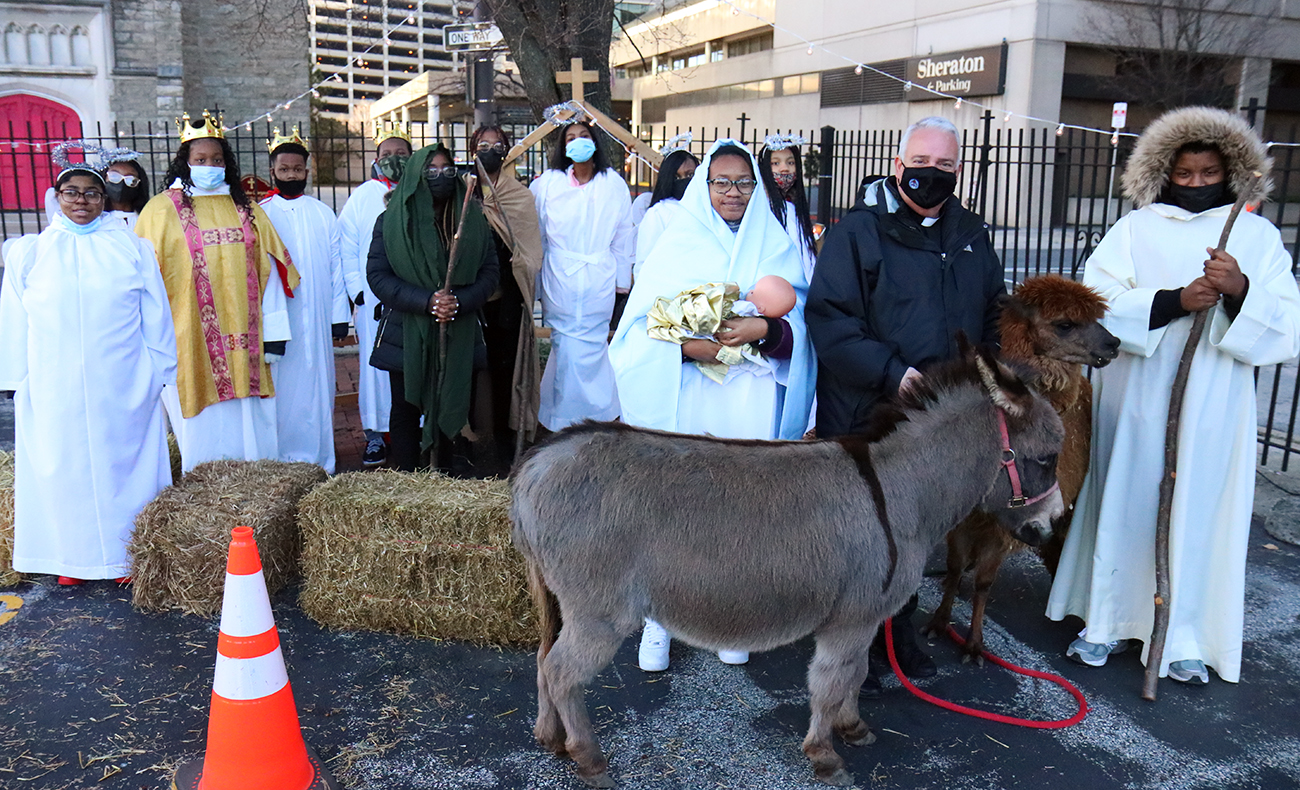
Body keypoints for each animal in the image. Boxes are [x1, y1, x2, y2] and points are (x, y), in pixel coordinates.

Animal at [510, 343, 1065, 787]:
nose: (1053, 525)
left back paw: (551, 739)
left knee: (543, 660)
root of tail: (538, 461)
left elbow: (856, 673)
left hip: (563, 602)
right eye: (1048, 458)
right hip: (601, 613)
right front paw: (824, 755)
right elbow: (830, 681)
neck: (898, 489)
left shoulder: (863, 619)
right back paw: (589, 759)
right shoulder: (851, 619)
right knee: (562, 673)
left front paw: (853, 727)